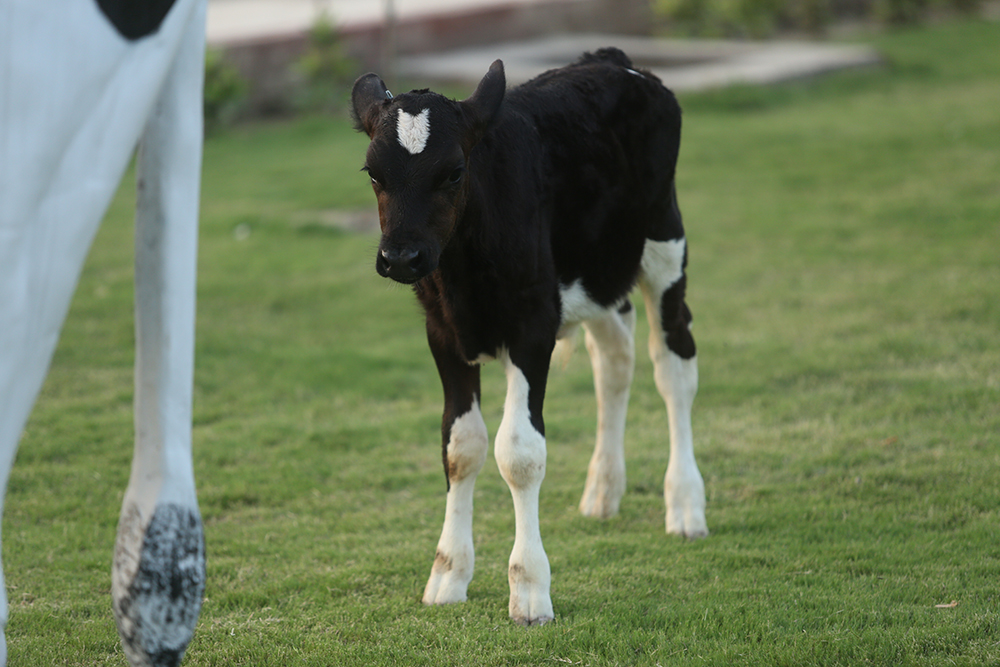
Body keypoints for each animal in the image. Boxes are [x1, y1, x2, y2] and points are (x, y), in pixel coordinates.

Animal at [351, 48, 708, 626]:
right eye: (373, 173)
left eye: (453, 172)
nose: (401, 257)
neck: (465, 277)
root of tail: (612, 60)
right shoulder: (442, 333)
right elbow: (460, 447)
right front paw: (447, 575)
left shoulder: (533, 327)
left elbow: (518, 451)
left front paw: (530, 589)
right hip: (599, 275)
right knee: (614, 363)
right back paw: (602, 492)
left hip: (664, 244)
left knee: (673, 368)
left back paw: (685, 505)